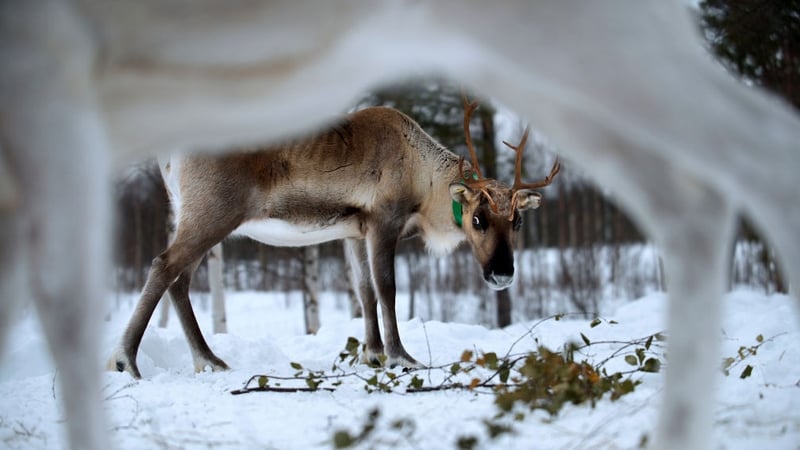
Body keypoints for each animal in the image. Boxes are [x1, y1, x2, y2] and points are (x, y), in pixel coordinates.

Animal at [108, 98, 560, 379]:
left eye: (518, 221)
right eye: (478, 219)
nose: (502, 274)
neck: (424, 179)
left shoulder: (353, 232)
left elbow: (364, 290)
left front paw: (372, 353)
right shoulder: (383, 222)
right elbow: (387, 288)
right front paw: (401, 356)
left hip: (193, 215)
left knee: (179, 280)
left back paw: (209, 360)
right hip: (212, 213)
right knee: (163, 265)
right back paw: (126, 360)